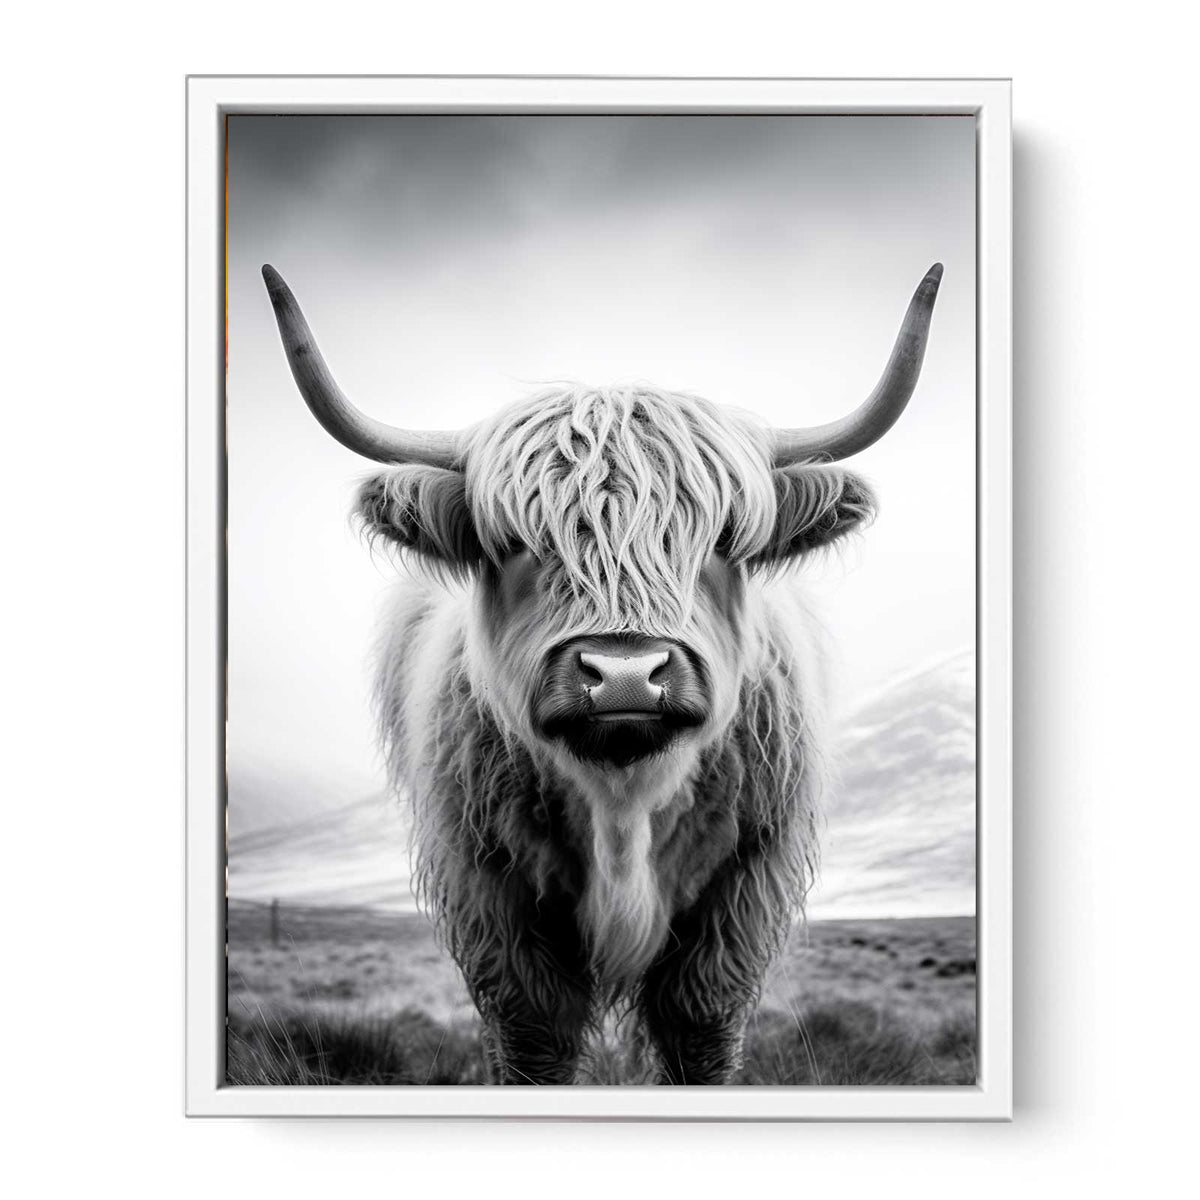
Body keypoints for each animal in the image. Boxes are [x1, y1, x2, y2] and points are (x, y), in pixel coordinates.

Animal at [262, 261, 942, 1084]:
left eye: (721, 538)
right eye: (515, 542)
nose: (624, 674)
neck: (624, 801)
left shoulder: (743, 890)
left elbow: (699, 1032)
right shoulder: (491, 893)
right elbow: (532, 1039)